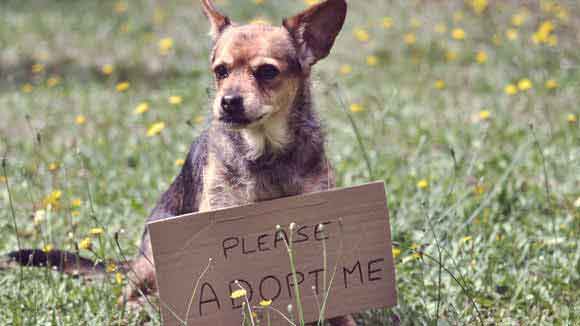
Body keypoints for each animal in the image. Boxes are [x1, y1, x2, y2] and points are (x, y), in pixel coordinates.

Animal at [3, 1, 354, 324]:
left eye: (267, 72)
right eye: (221, 71)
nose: (228, 101)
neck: (265, 152)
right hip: (151, 262)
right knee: (129, 296)